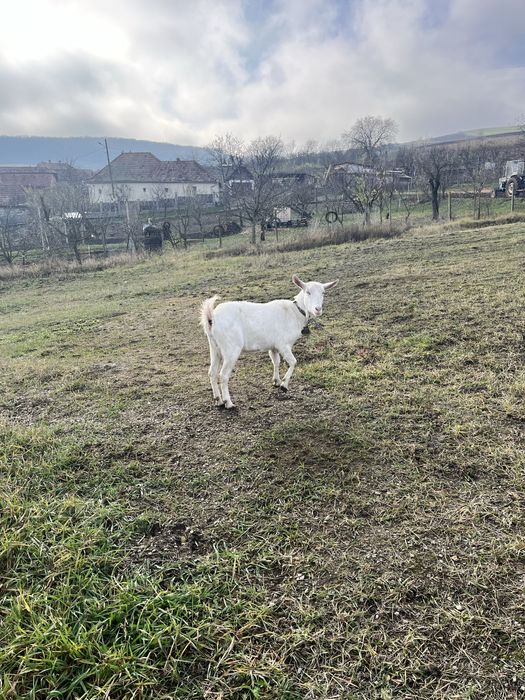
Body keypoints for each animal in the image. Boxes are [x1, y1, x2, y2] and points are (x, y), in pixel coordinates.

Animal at [200, 274, 338, 409]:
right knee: (223, 375)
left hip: (215, 347)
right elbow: (293, 362)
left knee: (212, 372)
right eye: (307, 292)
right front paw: (284, 385)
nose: (318, 309)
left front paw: (276, 381)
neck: (295, 311)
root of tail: (211, 317)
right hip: (231, 348)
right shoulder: (283, 344)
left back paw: (218, 400)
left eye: (323, 293)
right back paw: (228, 403)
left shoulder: (274, 346)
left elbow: (276, 362)